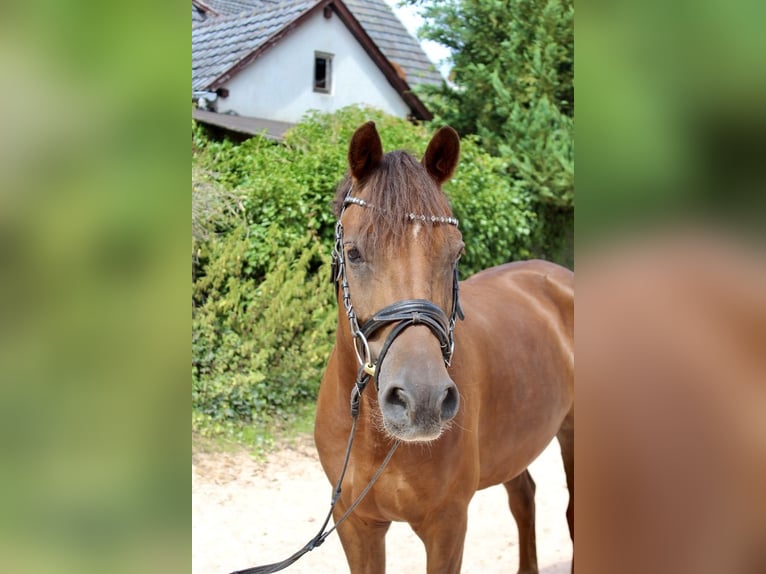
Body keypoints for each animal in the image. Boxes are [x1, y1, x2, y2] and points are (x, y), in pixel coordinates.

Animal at [316, 122, 572, 574]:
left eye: (456, 253)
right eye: (354, 253)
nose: (423, 400)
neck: (376, 437)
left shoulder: (447, 525)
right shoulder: (357, 526)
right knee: (523, 497)